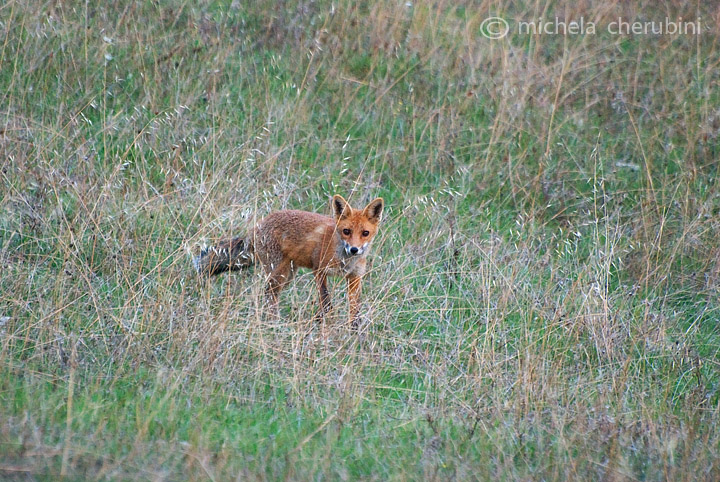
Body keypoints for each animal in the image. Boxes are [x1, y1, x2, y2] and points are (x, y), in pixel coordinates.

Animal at [190, 194, 382, 326]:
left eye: (365, 233)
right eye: (346, 231)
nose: (354, 249)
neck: (344, 259)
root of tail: (258, 225)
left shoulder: (355, 278)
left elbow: (355, 310)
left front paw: (354, 333)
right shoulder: (319, 270)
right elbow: (326, 302)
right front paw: (325, 323)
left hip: (288, 275)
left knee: (270, 294)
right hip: (278, 273)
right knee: (268, 294)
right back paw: (274, 324)